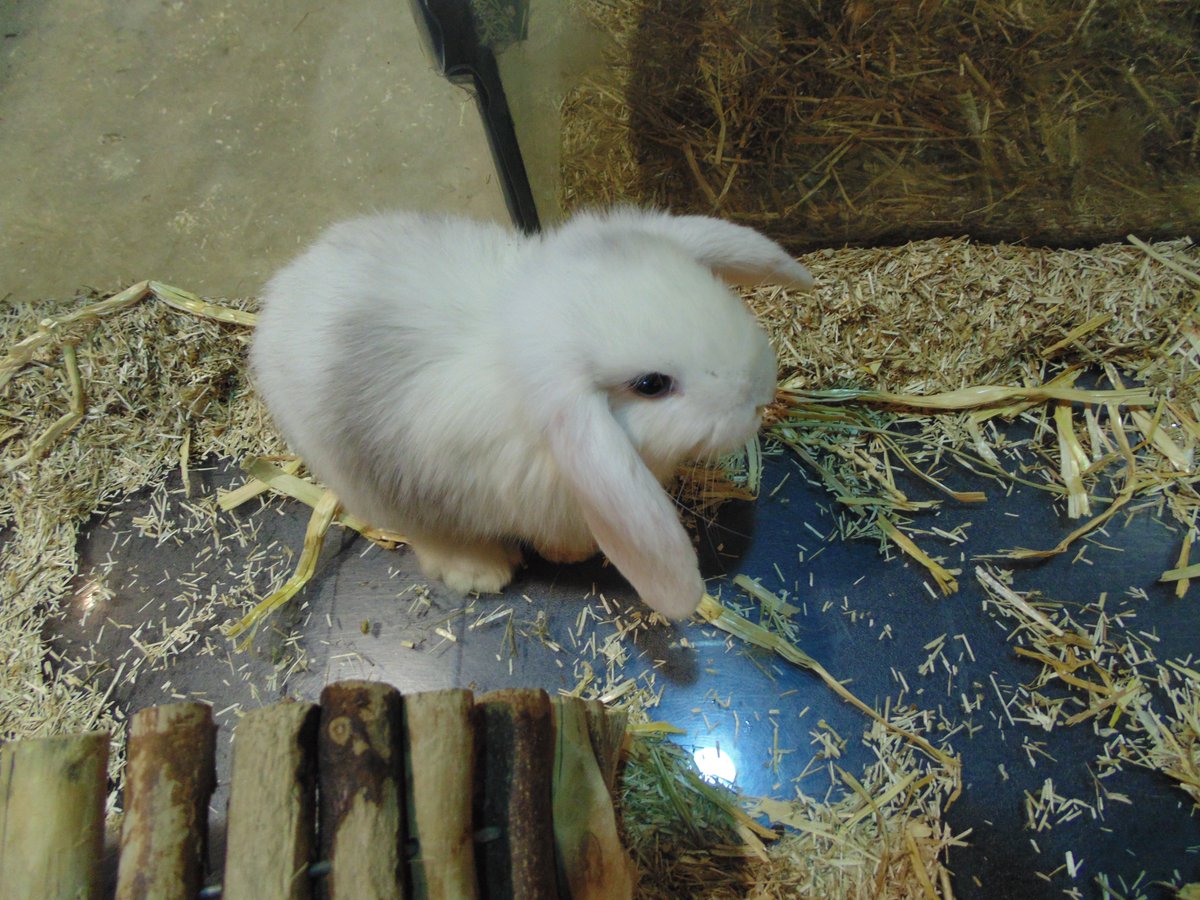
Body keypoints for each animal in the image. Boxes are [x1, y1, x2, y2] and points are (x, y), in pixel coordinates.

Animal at [250, 207, 813, 619]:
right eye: (651, 385)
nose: (760, 393)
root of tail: (281, 293)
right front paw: (574, 555)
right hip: (373, 479)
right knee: (425, 530)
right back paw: (482, 571)